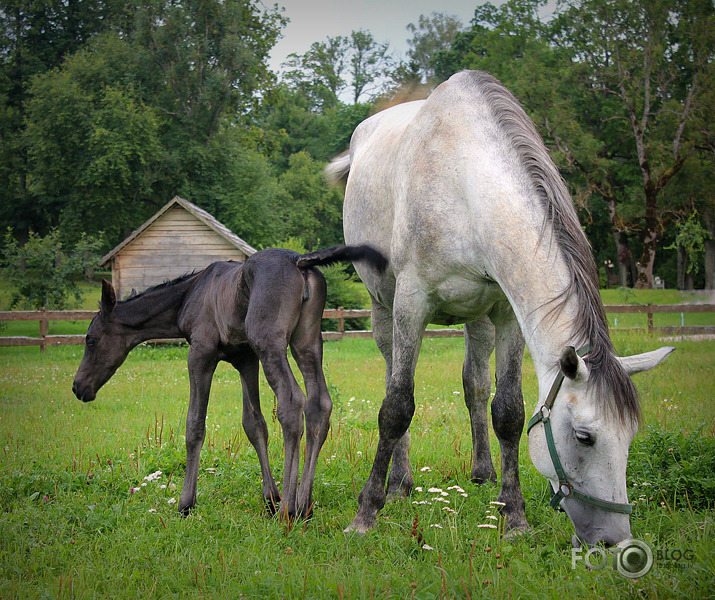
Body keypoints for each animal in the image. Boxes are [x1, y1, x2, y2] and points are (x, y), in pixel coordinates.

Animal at [72, 246, 386, 516]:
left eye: (90, 340)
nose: (78, 387)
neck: (188, 296)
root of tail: (299, 261)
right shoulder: (245, 358)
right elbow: (254, 424)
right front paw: (270, 497)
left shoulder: (201, 354)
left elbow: (194, 425)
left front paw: (186, 503)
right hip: (306, 342)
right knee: (318, 404)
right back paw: (303, 504)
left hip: (269, 342)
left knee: (291, 402)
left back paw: (289, 508)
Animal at [328, 70, 676, 548]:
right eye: (585, 437)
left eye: (630, 437)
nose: (613, 541)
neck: (464, 182)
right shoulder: (411, 304)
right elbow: (396, 406)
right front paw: (366, 512)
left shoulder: (509, 315)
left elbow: (508, 410)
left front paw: (514, 516)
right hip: (383, 310)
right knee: (392, 380)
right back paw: (400, 482)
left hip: (478, 318)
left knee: (474, 384)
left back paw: (482, 473)